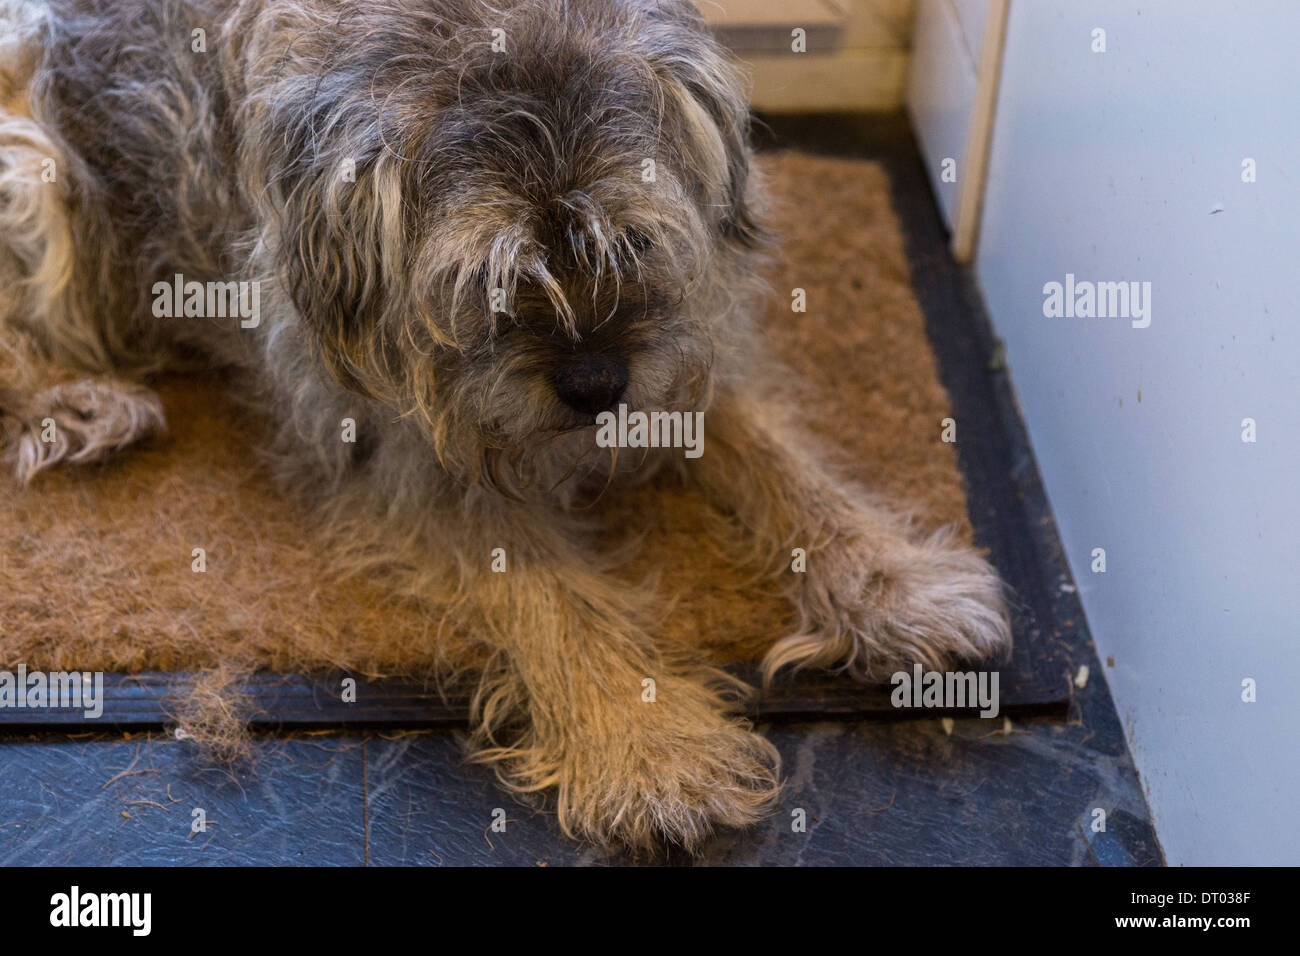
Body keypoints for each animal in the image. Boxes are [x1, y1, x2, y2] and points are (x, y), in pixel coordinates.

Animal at [0, 0, 1013, 853]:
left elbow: (775, 458)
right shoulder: (408, 454)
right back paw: (79, 401)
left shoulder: (685, 354)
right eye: (493, 279)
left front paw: (893, 580)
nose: (598, 385)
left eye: (630, 241)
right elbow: (552, 597)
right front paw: (646, 741)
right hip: (33, 162)